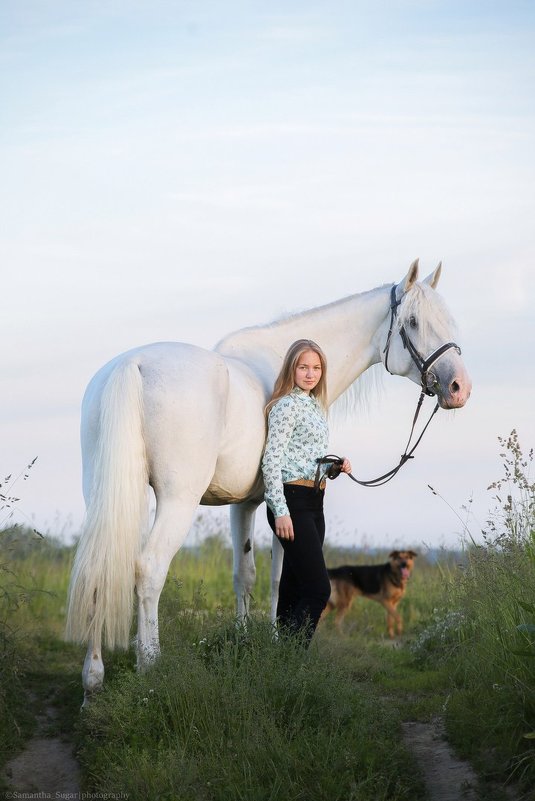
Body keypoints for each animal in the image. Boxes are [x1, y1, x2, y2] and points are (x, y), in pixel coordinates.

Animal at [67, 260, 474, 700]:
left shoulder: (241, 504)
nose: (459, 387)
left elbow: (244, 575)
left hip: (102, 497)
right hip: (177, 500)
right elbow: (280, 580)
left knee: (98, 570)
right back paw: (150, 671)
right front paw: (278, 646)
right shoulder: (277, 505)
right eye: (413, 322)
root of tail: (133, 365)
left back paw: (92, 683)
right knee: (149, 569)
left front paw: (244, 642)